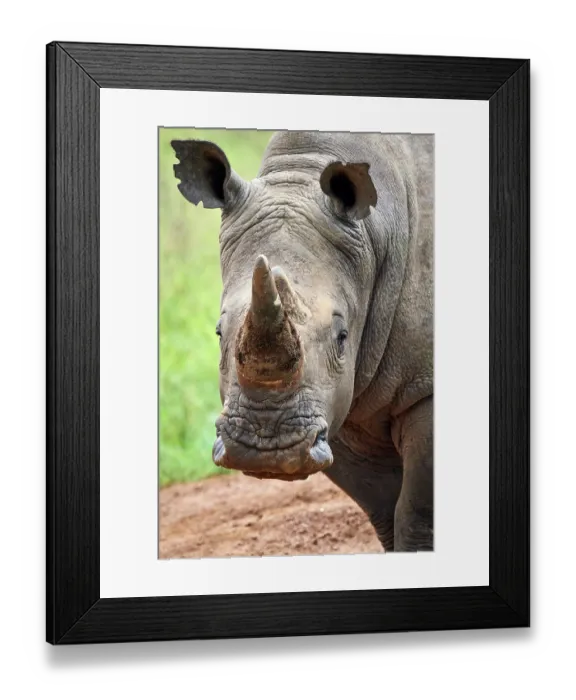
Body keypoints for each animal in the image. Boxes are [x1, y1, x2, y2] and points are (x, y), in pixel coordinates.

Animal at [171, 130, 434, 552]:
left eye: (342, 337)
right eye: (218, 332)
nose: (265, 450)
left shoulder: (424, 387)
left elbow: (418, 514)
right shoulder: (334, 401)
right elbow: (384, 509)